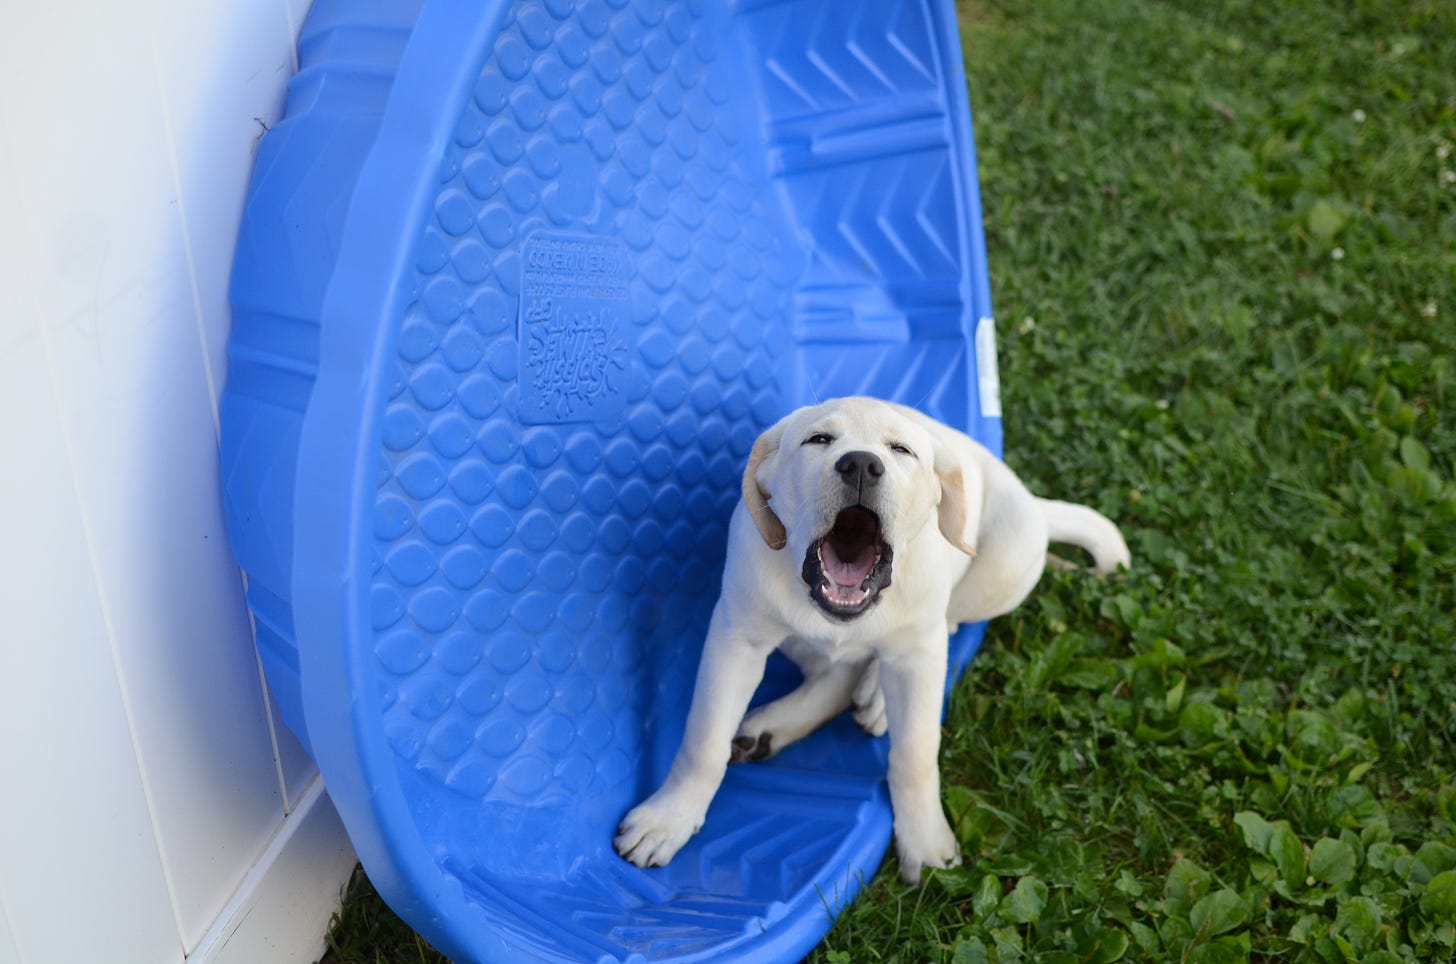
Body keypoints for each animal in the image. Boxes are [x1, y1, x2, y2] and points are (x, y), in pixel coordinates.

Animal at [611, 396, 1124, 885]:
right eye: (818, 440)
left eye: (901, 451)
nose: (860, 464)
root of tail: (1034, 502)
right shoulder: (738, 636)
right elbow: (703, 742)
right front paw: (669, 818)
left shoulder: (918, 655)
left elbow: (916, 756)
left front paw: (925, 842)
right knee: (835, 672)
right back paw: (774, 727)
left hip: (1002, 565)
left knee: (941, 627)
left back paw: (875, 694)